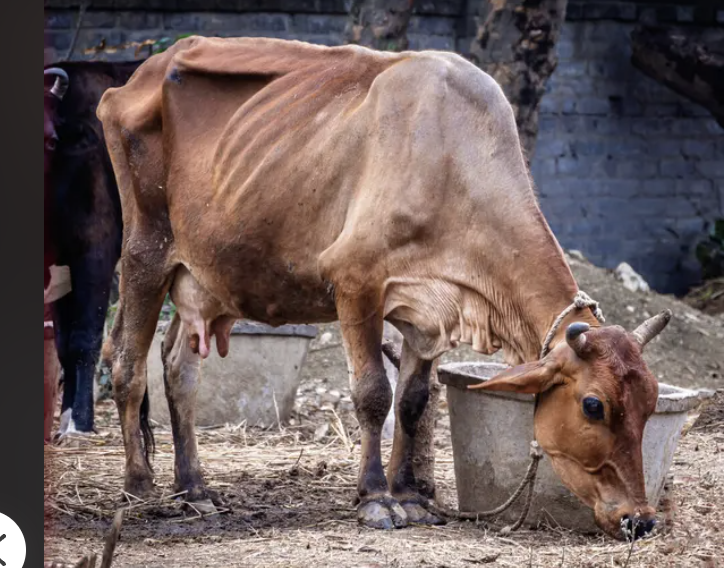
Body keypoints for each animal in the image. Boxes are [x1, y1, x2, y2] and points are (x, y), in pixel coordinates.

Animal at [97, 37, 671, 541]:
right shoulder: (355, 283)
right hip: (145, 250)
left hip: (207, 276)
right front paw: (375, 499)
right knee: (127, 362)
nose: (640, 520)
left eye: (650, 403)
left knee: (178, 369)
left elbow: (413, 401)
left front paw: (411, 497)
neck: (454, 163)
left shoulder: (430, 314)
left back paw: (193, 488)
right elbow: (374, 393)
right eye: (593, 406)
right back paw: (140, 485)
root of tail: (138, 77)